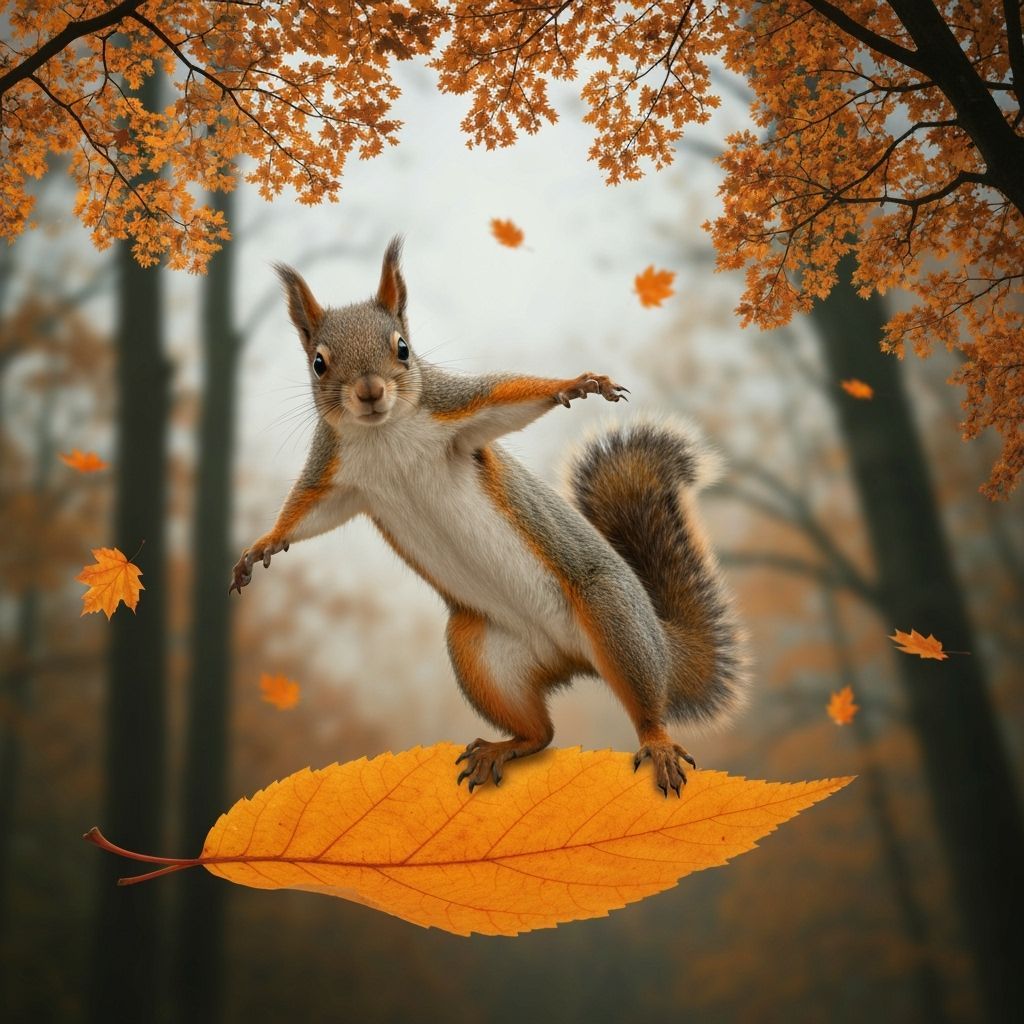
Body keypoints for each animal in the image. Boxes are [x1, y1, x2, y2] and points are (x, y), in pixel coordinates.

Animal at [230, 237, 747, 795]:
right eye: (319, 363)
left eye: (403, 348)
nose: (369, 392)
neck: (382, 433)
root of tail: (575, 661)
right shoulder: (335, 477)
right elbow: (306, 515)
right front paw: (261, 546)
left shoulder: (454, 410)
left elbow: (509, 397)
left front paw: (580, 384)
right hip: (480, 656)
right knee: (541, 732)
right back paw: (503, 748)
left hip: (612, 616)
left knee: (646, 704)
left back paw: (657, 744)